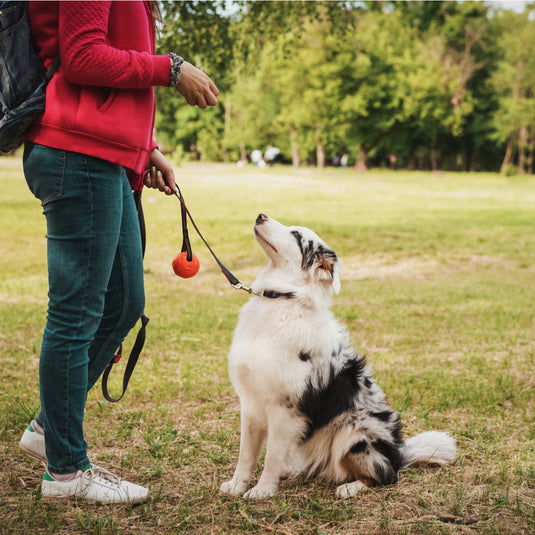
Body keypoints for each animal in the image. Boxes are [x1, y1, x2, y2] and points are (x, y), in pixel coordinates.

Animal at [220, 216, 454, 500]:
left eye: (296, 235)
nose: (260, 215)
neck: (284, 300)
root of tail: (399, 454)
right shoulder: (251, 404)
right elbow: (246, 455)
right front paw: (236, 486)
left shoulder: (285, 410)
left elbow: (272, 456)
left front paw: (263, 490)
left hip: (354, 431)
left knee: (386, 475)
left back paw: (350, 487)